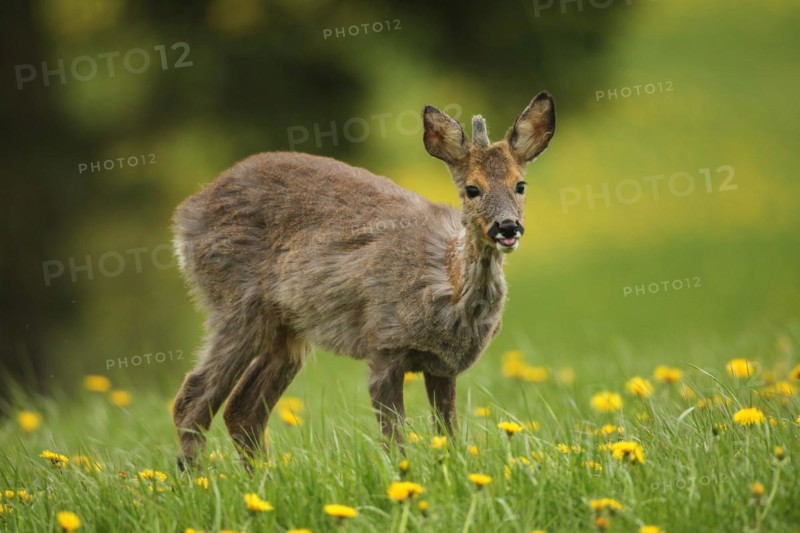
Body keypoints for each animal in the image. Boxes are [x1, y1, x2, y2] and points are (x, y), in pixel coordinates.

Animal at [171, 92, 556, 469]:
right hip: (237, 304)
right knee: (191, 399)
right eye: (472, 189)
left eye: (520, 185)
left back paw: (261, 478)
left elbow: (448, 436)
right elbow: (395, 441)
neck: (447, 286)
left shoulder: (444, 364)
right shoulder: (383, 344)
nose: (507, 227)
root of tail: (184, 216)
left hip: (289, 330)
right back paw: (199, 481)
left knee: (243, 408)